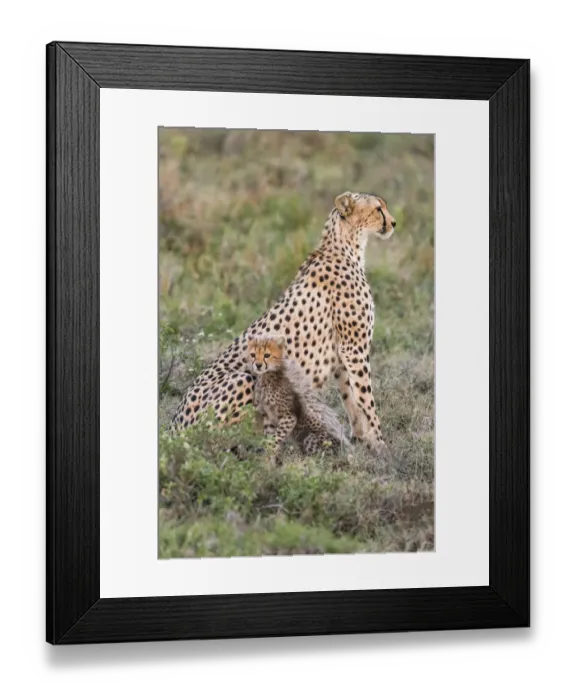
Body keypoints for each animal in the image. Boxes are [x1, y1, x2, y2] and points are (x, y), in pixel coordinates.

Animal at [171, 191, 397, 452]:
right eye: (378, 208)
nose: (394, 223)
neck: (345, 245)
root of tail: (173, 427)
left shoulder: (342, 355)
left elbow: (351, 398)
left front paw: (361, 441)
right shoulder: (354, 349)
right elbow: (367, 400)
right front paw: (381, 446)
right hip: (244, 378)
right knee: (213, 440)